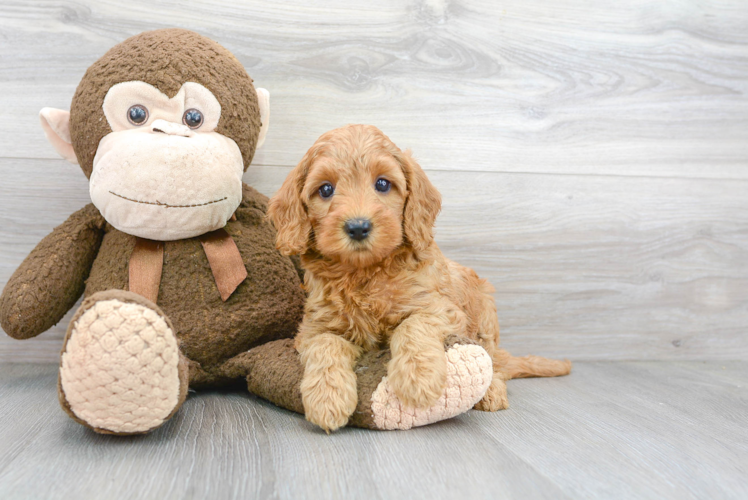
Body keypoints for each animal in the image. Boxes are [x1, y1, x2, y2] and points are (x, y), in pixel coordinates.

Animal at [268, 124, 572, 430]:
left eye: (382, 184)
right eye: (326, 189)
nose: (358, 227)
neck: (365, 272)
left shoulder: (440, 309)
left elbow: (413, 325)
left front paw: (418, 377)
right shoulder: (315, 326)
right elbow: (325, 345)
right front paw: (327, 398)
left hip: (485, 315)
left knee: (493, 362)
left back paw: (491, 392)